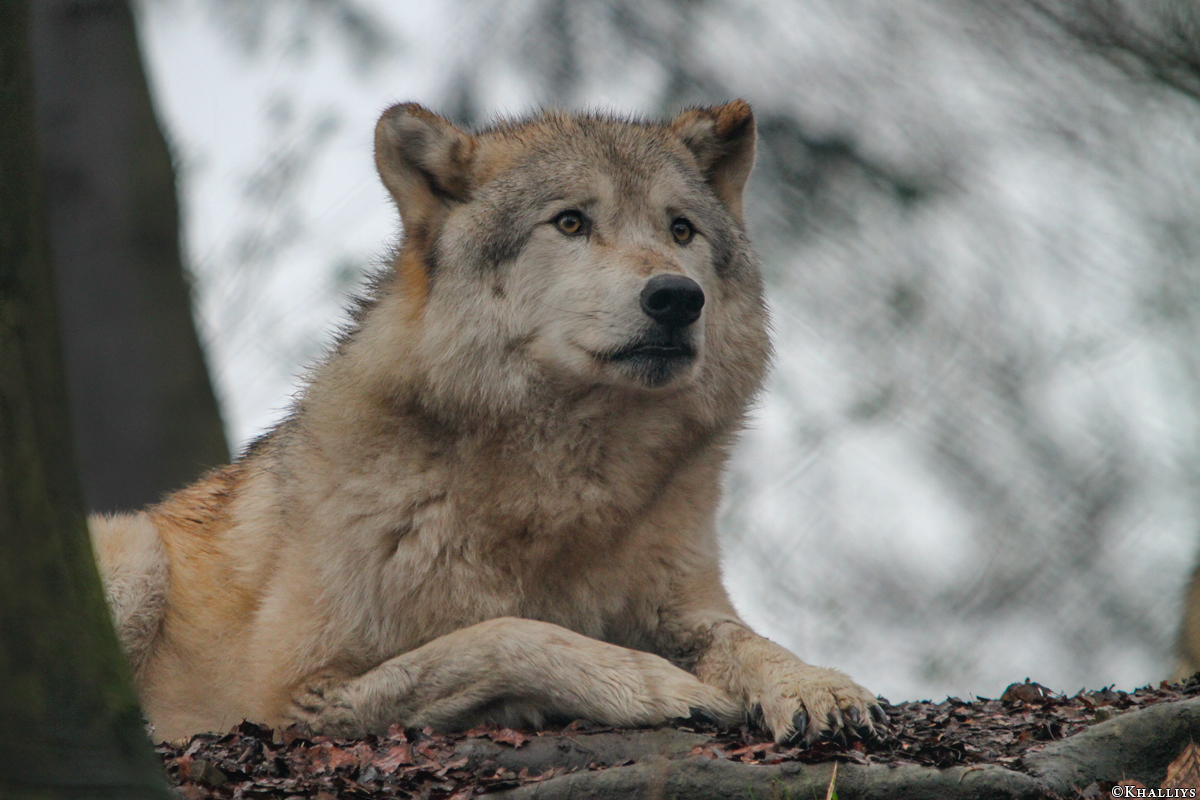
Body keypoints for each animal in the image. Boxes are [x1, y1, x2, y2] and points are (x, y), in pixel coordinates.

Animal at [89, 100, 885, 745]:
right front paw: (651, 685)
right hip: (136, 555)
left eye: (681, 230)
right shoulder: (291, 696)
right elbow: (499, 636)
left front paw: (817, 685)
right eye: (571, 222)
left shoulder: (681, 602)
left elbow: (747, 641)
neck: (557, 492)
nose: (676, 298)